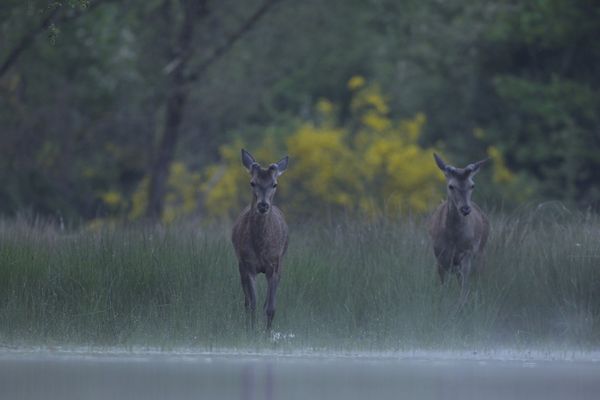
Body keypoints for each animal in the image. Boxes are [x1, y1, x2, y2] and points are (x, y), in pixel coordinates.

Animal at [231, 148, 290, 330]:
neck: (261, 247)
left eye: (274, 184)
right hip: (240, 264)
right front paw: (251, 330)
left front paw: (267, 333)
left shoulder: (275, 265)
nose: (263, 205)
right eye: (252, 182)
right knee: (246, 300)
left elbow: (271, 307)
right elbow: (252, 304)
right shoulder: (248, 264)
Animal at [426, 153, 488, 304]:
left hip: (481, 251)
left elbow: (464, 283)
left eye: (472, 185)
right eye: (451, 186)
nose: (465, 209)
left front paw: (462, 302)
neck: (453, 238)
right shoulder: (439, 254)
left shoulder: (467, 251)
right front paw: (443, 300)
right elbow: (444, 284)